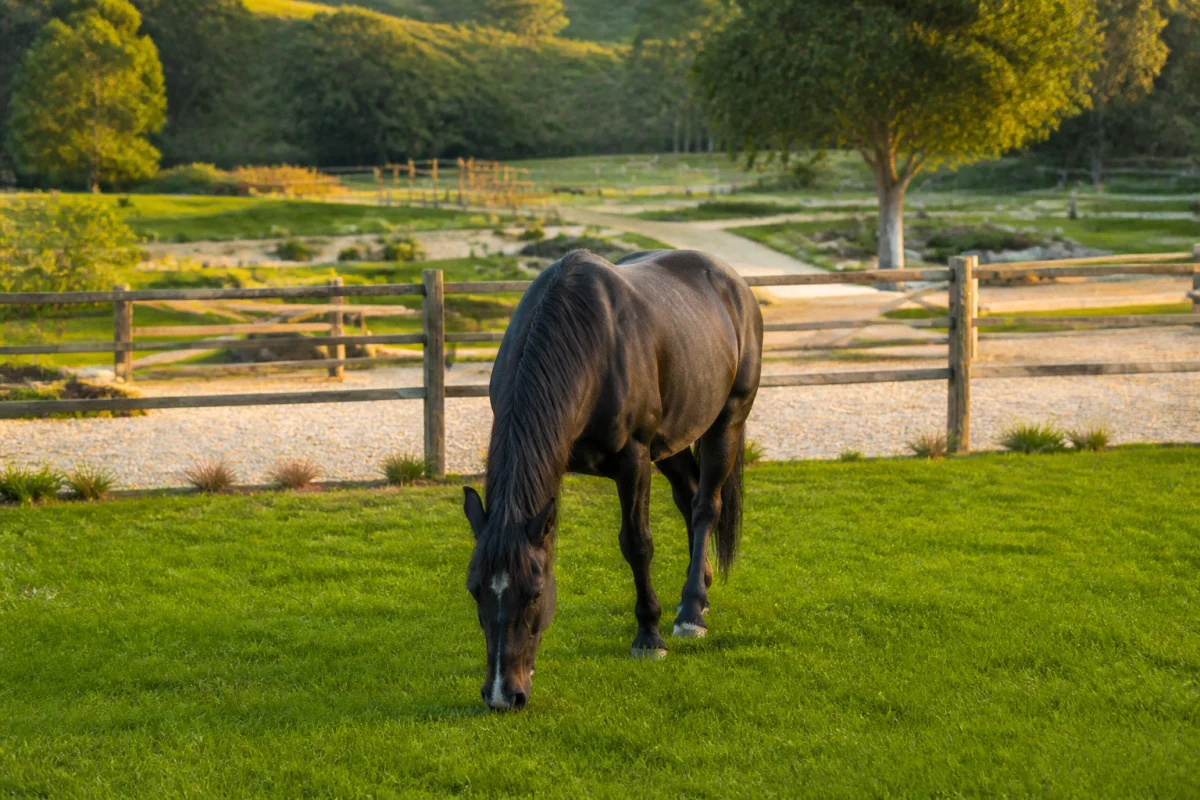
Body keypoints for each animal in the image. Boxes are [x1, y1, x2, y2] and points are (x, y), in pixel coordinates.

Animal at [462, 248, 763, 710]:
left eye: (535, 593)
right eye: (474, 590)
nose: (501, 695)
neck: (587, 343)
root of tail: (734, 283)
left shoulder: (633, 460)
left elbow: (637, 545)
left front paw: (649, 636)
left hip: (726, 422)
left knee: (705, 506)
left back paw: (692, 611)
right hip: (671, 443)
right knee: (689, 496)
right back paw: (701, 587)